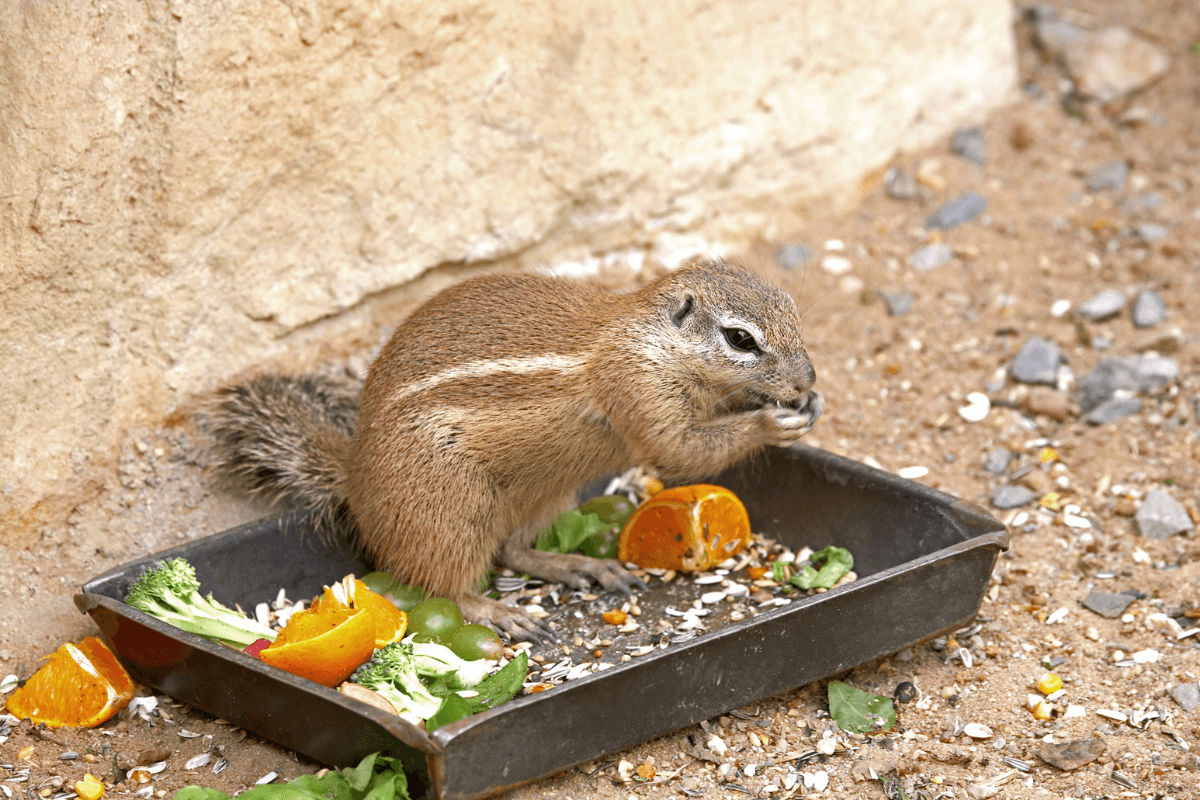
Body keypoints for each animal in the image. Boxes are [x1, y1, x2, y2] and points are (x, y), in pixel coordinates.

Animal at [208, 260, 825, 642]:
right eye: (740, 339)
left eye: (795, 312)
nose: (806, 380)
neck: (652, 339)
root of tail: (356, 486)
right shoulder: (637, 390)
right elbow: (680, 451)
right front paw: (770, 421)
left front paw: (807, 403)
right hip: (451, 509)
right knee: (445, 583)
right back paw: (500, 613)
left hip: (548, 492)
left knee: (512, 550)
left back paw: (578, 565)